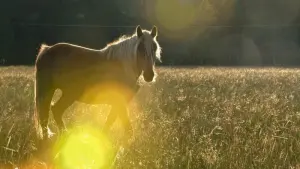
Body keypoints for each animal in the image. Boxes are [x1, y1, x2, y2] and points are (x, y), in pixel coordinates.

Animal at [33, 25, 162, 144]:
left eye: (154, 48)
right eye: (140, 48)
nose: (149, 75)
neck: (123, 66)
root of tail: (47, 50)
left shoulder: (118, 104)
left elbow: (110, 121)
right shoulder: (120, 102)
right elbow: (126, 126)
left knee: (51, 112)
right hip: (65, 94)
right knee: (51, 113)